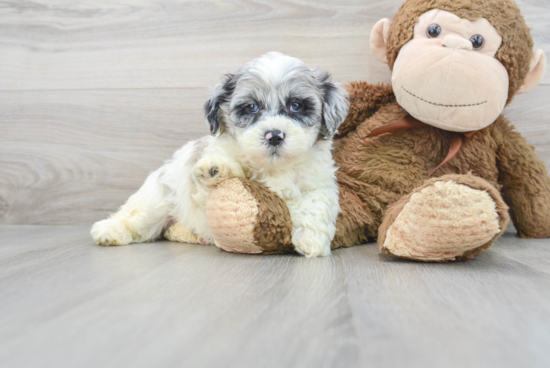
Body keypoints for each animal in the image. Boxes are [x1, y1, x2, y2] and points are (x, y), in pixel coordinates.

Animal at [90, 51, 350, 258]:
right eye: (251, 107)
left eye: (296, 106)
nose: (274, 135)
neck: (272, 167)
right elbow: (215, 182)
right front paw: (216, 169)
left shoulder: (319, 183)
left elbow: (317, 203)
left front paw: (311, 241)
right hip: (156, 202)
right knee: (136, 220)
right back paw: (110, 231)